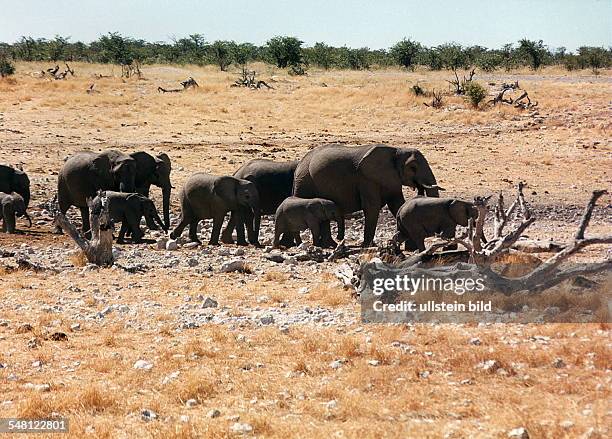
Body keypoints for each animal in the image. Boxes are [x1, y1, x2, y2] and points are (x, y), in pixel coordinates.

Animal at [292, 144, 440, 248]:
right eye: (413, 167)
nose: (420, 189)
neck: (396, 151)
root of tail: (299, 165)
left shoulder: (391, 179)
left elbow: (397, 204)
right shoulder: (366, 179)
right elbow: (372, 207)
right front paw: (368, 246)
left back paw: (330, 245)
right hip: (305, 181)